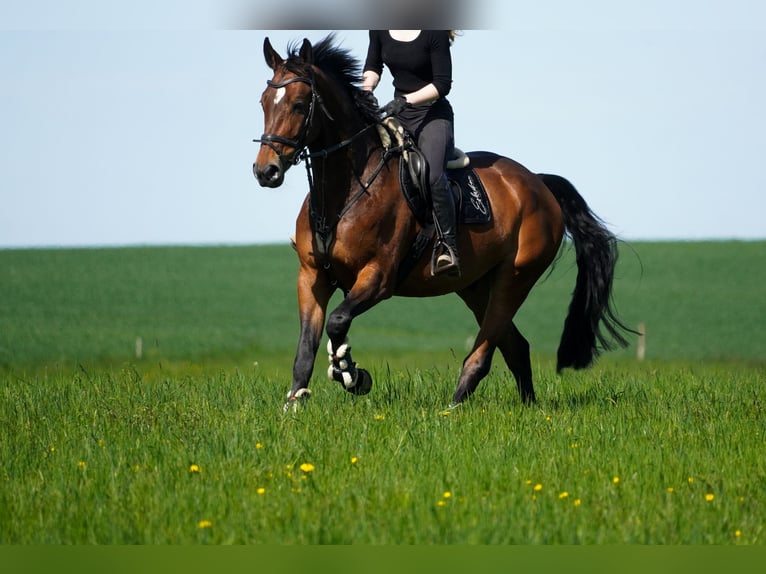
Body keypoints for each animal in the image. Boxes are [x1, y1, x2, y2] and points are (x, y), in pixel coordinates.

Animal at [253, 35, 632, 411]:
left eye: (299, 104)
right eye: (263, 102)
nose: (265, 171)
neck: (345, 190)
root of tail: (538, 183)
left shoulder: (378, 277)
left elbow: (337, 321)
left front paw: (351, 373)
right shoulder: (312, 276)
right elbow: (307, 347)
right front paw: (295, 404)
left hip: (514, 278)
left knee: (484, 351)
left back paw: (453, 408)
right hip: (475, 285)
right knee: (516, 346)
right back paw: (528, 406)